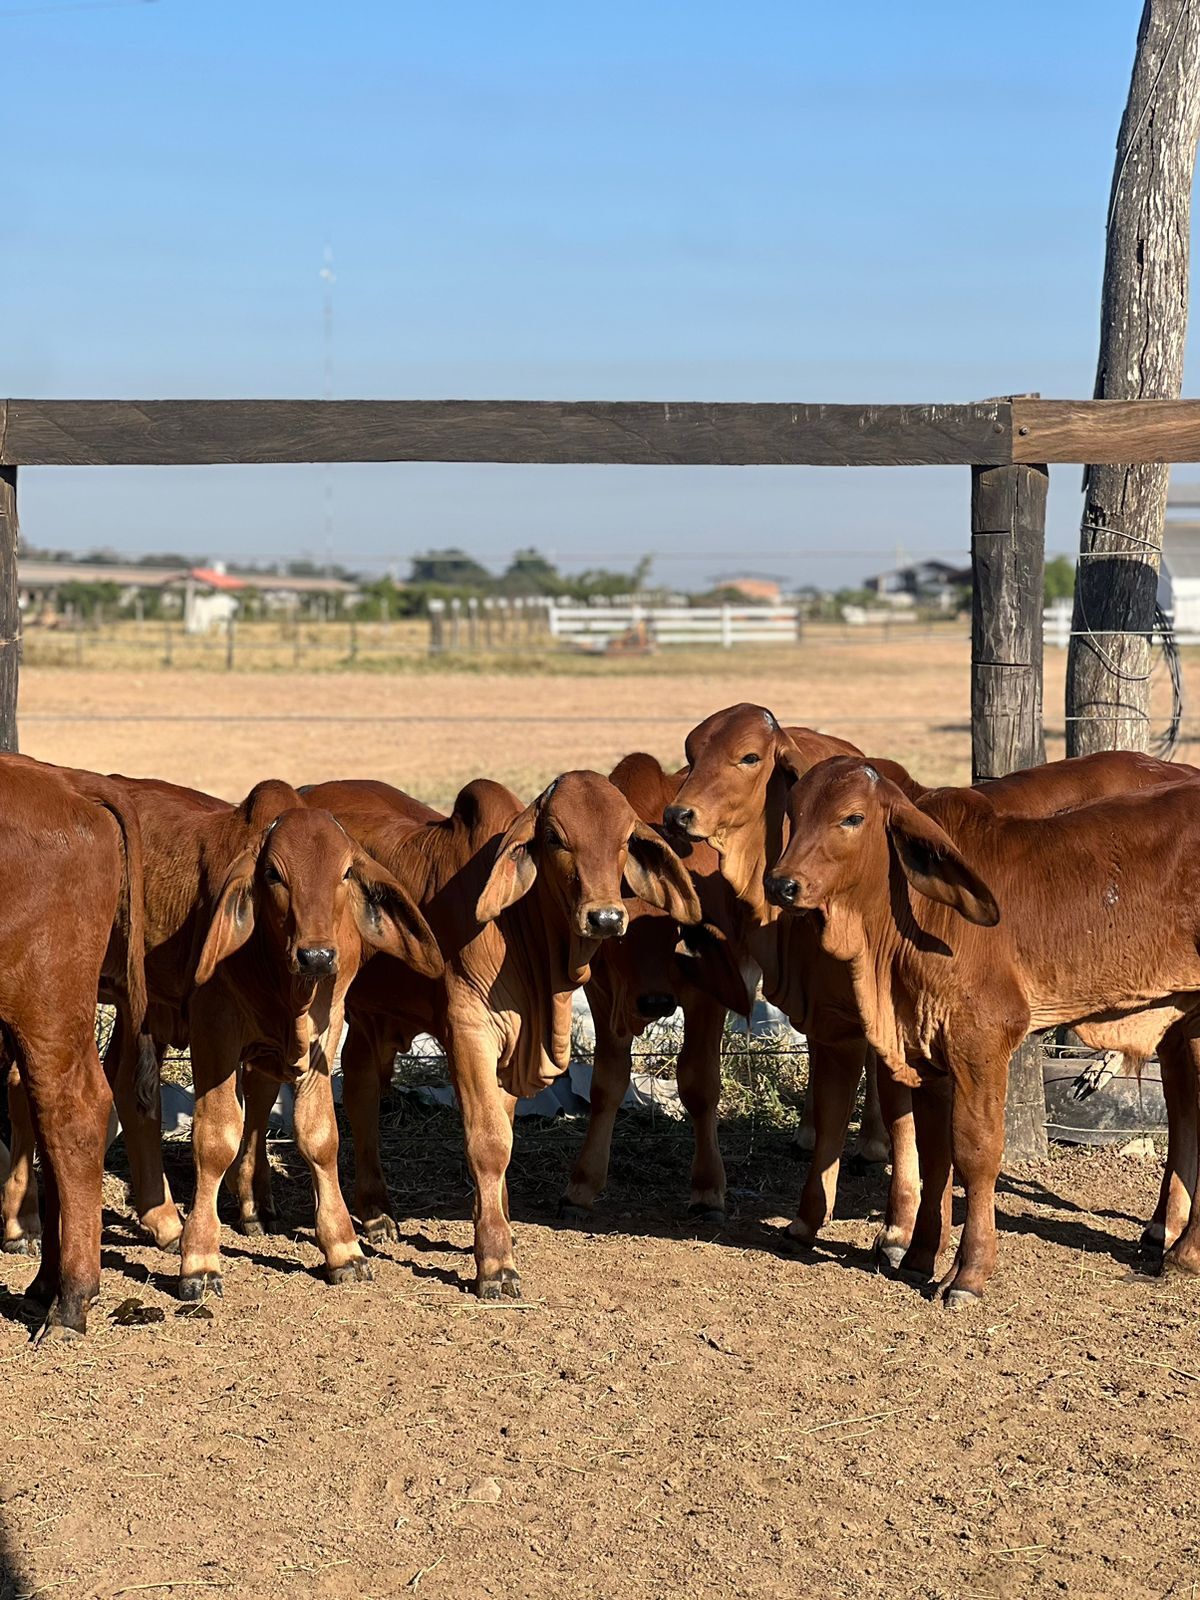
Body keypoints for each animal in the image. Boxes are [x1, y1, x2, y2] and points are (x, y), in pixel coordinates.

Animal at [292, 770, 701, 1298]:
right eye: (555, 839)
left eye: (625, 840)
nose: (606, 917)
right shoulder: (470, 1030)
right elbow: (488, 1142)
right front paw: (495, 1261)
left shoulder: (513, 1045)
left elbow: (505, 1130)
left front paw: (497, 1223)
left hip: (371, 1015)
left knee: (362, 1091)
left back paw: (377, 1213)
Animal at [560, 752, 753, 1224]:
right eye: (618, 932)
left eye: (676, 930)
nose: (655, 1001)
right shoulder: (604, 996)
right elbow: (606, 1084)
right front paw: (583, 1183)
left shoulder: (707, 997)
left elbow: (699, 1085)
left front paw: (708, 1188)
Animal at [767, 754, 1200, 1303]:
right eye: (794, 812)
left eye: (852, 818)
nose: (781, 884)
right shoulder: (925, 1050)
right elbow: (933, 1154)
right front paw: (919, 1257)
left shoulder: (982, 1039)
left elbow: (974, 1152)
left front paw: (968, 1272)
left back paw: (1183, 1252)